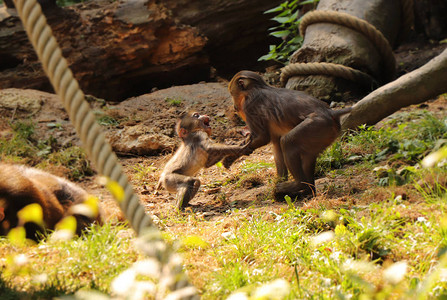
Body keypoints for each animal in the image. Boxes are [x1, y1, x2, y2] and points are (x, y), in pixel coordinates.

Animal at [224, 70, 354, 199]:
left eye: (232, 93)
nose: (235, 107)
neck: (257, 87)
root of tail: (329, 112)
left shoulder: (250, 106)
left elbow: (263, 138)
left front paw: (233, 155)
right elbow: (276, 145)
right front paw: (279, 181)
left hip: (317, 125)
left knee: (288, 142)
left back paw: (299, 184)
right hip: (323, 134)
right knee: (307, 155)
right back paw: (308, 190)